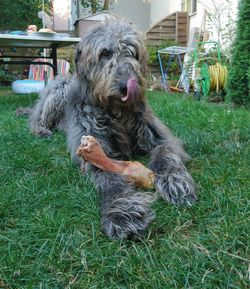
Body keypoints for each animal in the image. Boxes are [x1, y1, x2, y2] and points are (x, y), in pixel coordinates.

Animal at [28, 19, 197, 237]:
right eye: (105, 53)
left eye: (132, 53)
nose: (127, 87)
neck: (117, 113)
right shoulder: (92, 148)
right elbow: (108, 176)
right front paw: (121, 210)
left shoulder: (160, 136)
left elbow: (164, 152)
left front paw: (175, 181)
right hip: (59, 90)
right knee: (35, 119)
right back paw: (41, 130)